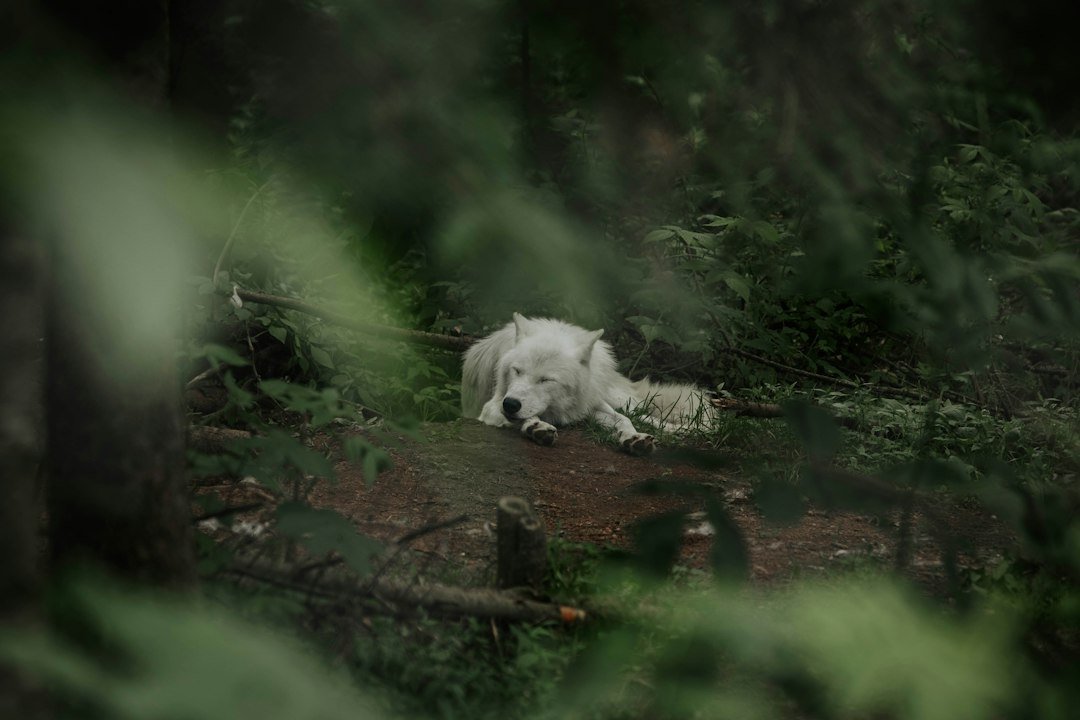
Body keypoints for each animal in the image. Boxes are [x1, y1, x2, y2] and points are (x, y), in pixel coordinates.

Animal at [461, 313, 712, 455]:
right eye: (517, 371)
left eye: (546, 380)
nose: (511, 404)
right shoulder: (493, 405)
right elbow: (527, 416)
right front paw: (536, 426)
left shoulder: (591, 406)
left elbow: (623, 419)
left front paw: (634, 439)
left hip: (620, 399)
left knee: (641, 414)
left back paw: (687, 429)